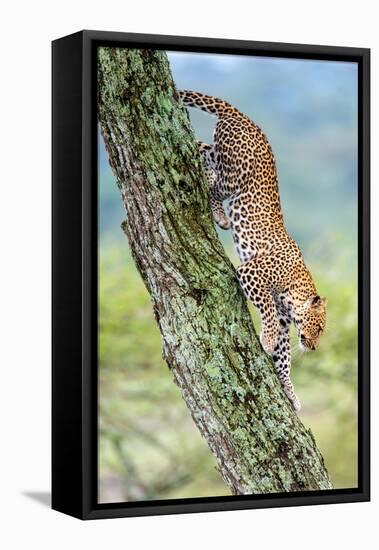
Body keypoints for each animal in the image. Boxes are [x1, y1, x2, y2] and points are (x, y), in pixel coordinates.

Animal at [180, 90, 328, 412]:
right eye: (321, 328)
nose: (313, 347)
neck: (296, 290)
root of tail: (244, 117)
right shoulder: (252, 273)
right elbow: (269, 312)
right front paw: (267, 339)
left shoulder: (286, 321)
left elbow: (284, 357)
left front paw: (289, 391)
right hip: (236, 173)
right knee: (213, 180)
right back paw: (220, 215)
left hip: (221, 153)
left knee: (202, 149)